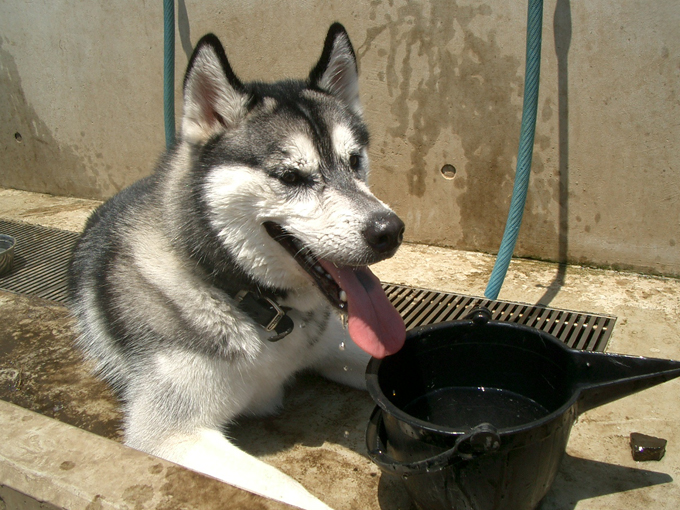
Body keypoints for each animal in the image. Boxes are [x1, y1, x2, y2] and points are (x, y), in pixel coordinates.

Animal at [70, 22, 404, 506]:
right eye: (291, 176)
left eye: (354, 161)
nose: (389, 231)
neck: (255, 307)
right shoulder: (170, 434)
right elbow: (288, 488)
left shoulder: (334, 347)